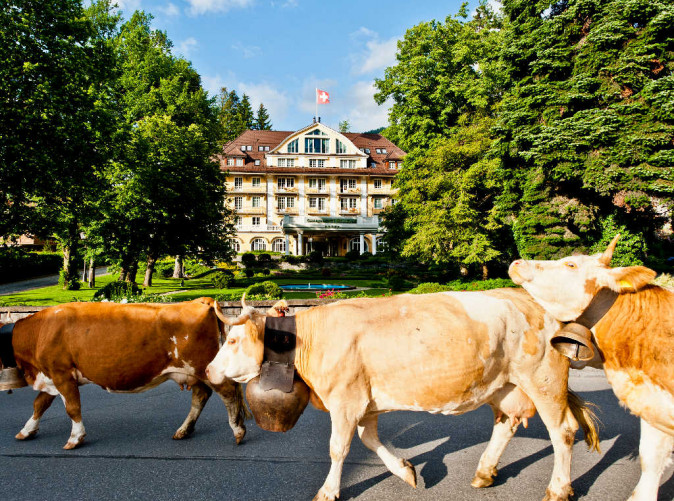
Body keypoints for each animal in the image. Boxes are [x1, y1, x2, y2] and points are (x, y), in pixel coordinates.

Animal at [0, 296, 247, 450]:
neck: (40, 330)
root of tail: (200, 301)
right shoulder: (50, 375)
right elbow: (39, 405)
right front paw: (26, 431)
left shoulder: (61, 374)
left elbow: (72, 408)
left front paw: (75, 438)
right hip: (193, 372)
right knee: (201, 396)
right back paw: (184, 430)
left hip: (204, 367)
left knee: (227, 391)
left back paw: (238, 430)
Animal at [207, 290, 596, 500]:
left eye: (233, 339)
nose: (209, 371)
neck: (313, 339)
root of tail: (530, 299)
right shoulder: (363, 402)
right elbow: (369, 440)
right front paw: (406, 471)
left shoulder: (346, 400)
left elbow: (338, 448)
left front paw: (328, 491)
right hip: (504, 386)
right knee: (506, 423)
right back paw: (484, 473)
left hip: (543, 379)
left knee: (563, 432)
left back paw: (558, 489)